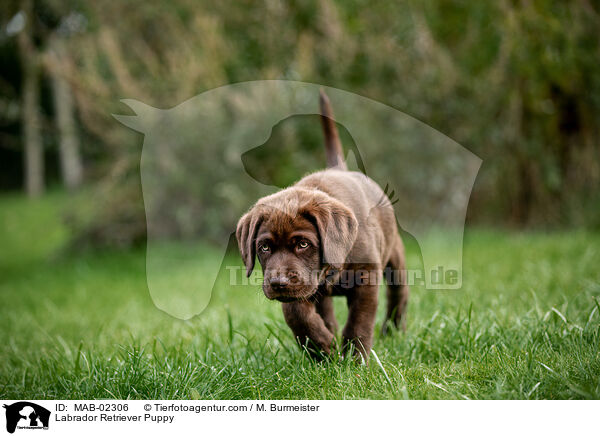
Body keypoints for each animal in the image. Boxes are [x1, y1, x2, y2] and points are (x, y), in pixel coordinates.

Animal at [237, 89, 410, 362]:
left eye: (303, 244)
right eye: (264, 248)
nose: (278, 283)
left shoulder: (366, 276)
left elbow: (359, 321)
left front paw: (355, 359)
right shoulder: (299, 289)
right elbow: (297, 315)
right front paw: (322, 349)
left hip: (394, 255)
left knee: (398, 293)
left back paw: (393, 331)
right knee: (326, 311)